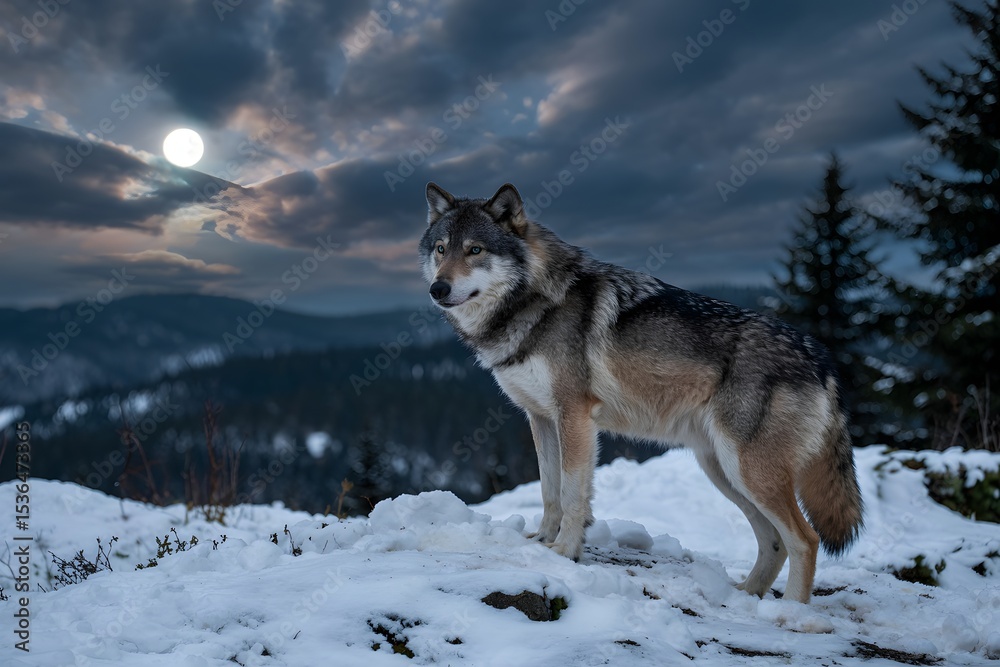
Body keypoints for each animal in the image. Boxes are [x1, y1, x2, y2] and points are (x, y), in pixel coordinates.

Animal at [419, 182, 863, 604]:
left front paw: (564, 552)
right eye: (441, 249)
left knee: (805, 539)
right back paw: (744, 595)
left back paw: (791, 614)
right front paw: (542, 542)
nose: (438, 289)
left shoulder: (574, 415)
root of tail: (822, 359)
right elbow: (549, 491)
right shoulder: (541, 418)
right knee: (774, 541)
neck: (532, 302)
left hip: (747, 470)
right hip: (723, 471)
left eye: (475, 250)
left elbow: (572, 493)